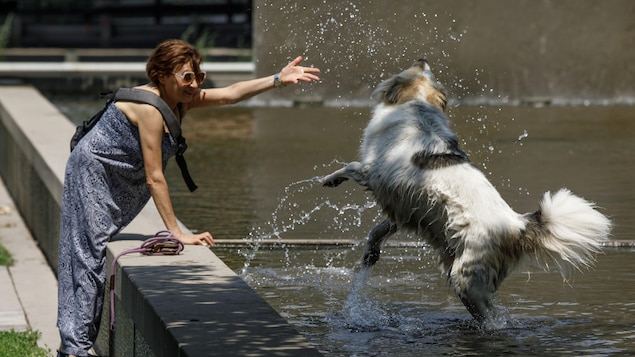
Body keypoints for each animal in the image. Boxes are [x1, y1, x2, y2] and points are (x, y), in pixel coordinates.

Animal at [322, 58, 612, 322]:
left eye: (417, 68)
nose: (422, 58)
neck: (418, 105)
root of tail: (519, 225)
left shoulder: (373, 173)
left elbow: (350, 166)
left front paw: (329, 179)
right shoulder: (405, 207)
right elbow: (378, 231)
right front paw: (371, 253)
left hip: (465, 278)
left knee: (491, 320)